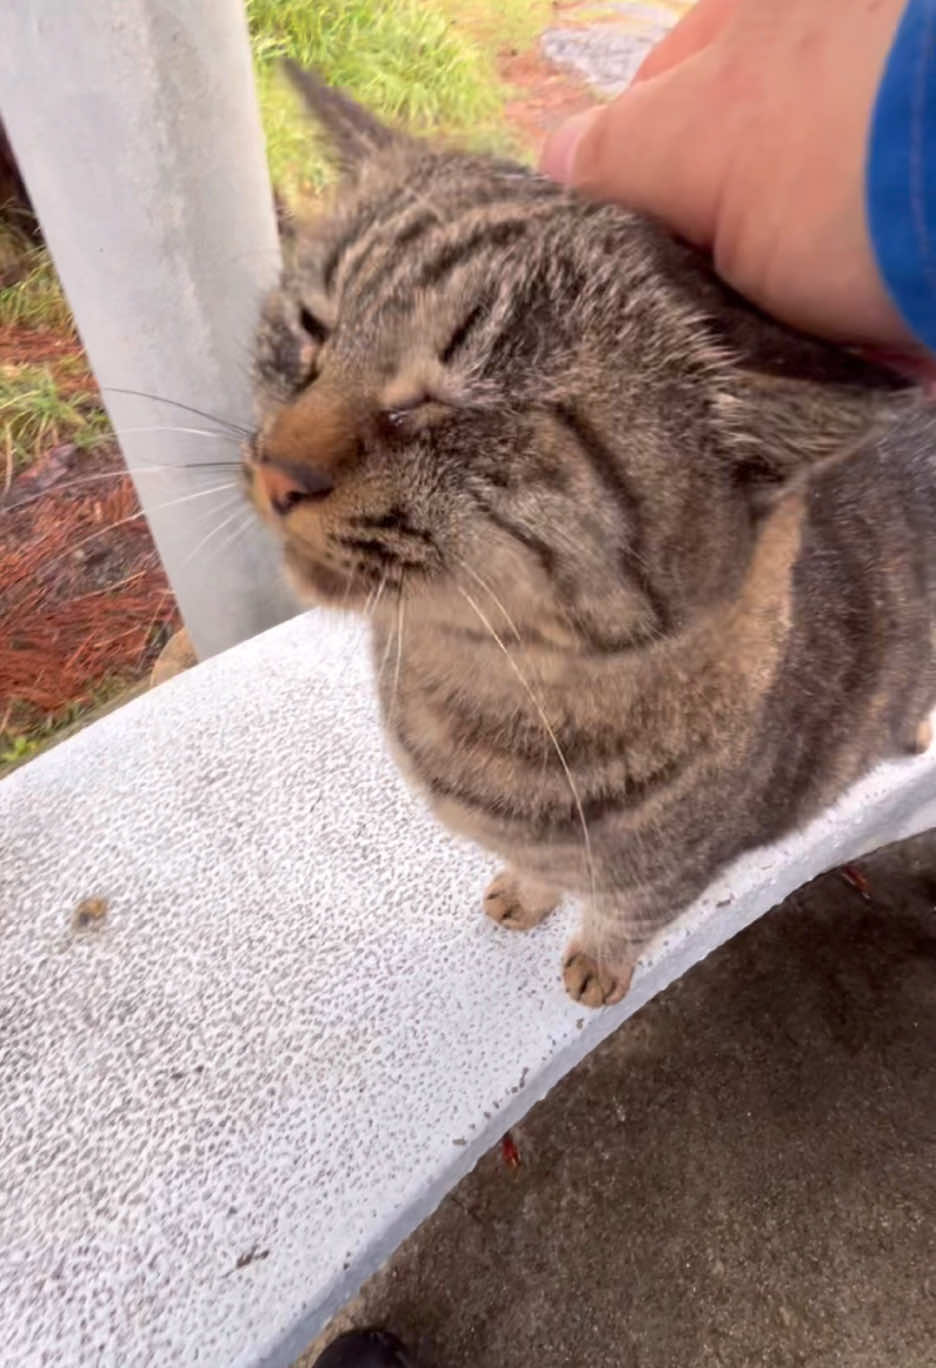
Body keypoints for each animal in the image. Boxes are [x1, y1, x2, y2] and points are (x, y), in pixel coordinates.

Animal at [246, 66, 936, 1006]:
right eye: (312, 328)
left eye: (458, 402)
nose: (276, 469)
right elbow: (539, 874)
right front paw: (525, 892)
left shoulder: (672, 875)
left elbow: (623, 916)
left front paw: (598, 964)